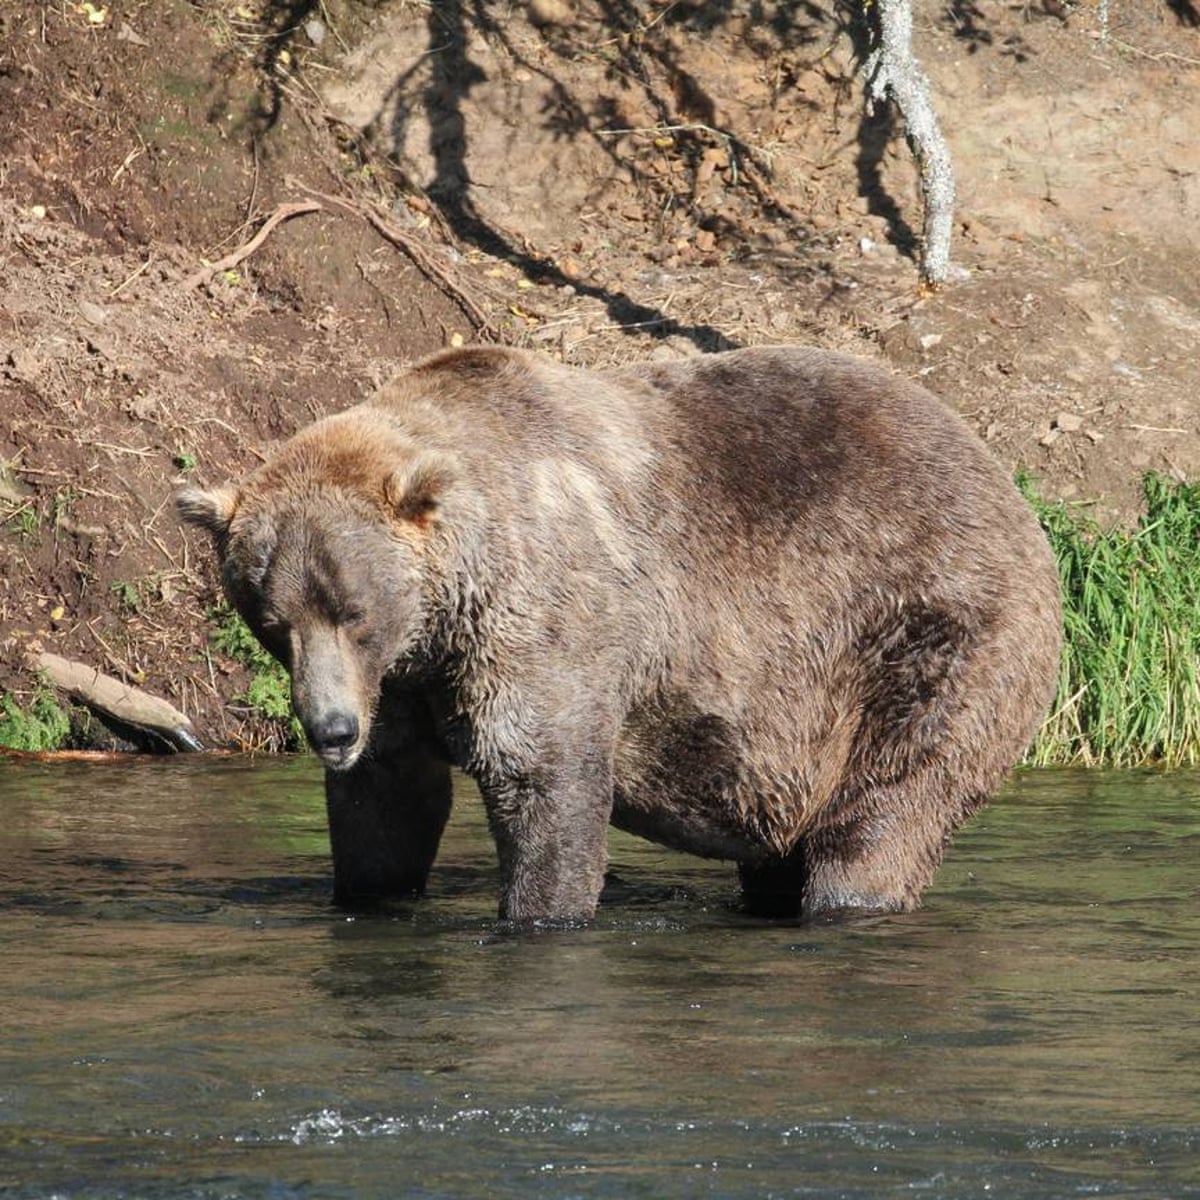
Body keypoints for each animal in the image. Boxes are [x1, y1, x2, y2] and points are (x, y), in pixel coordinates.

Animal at [177, 345, 1062, 922]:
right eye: (273, 621)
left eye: (354, 612)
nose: (330, 730)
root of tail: (1005, 480)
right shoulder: (405, 683)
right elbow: (388, 803)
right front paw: (370, 890)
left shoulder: (544, 620)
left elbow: (544, 778)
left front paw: (540, 909)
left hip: (926, 631)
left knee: (889, 804)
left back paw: (849, 897)